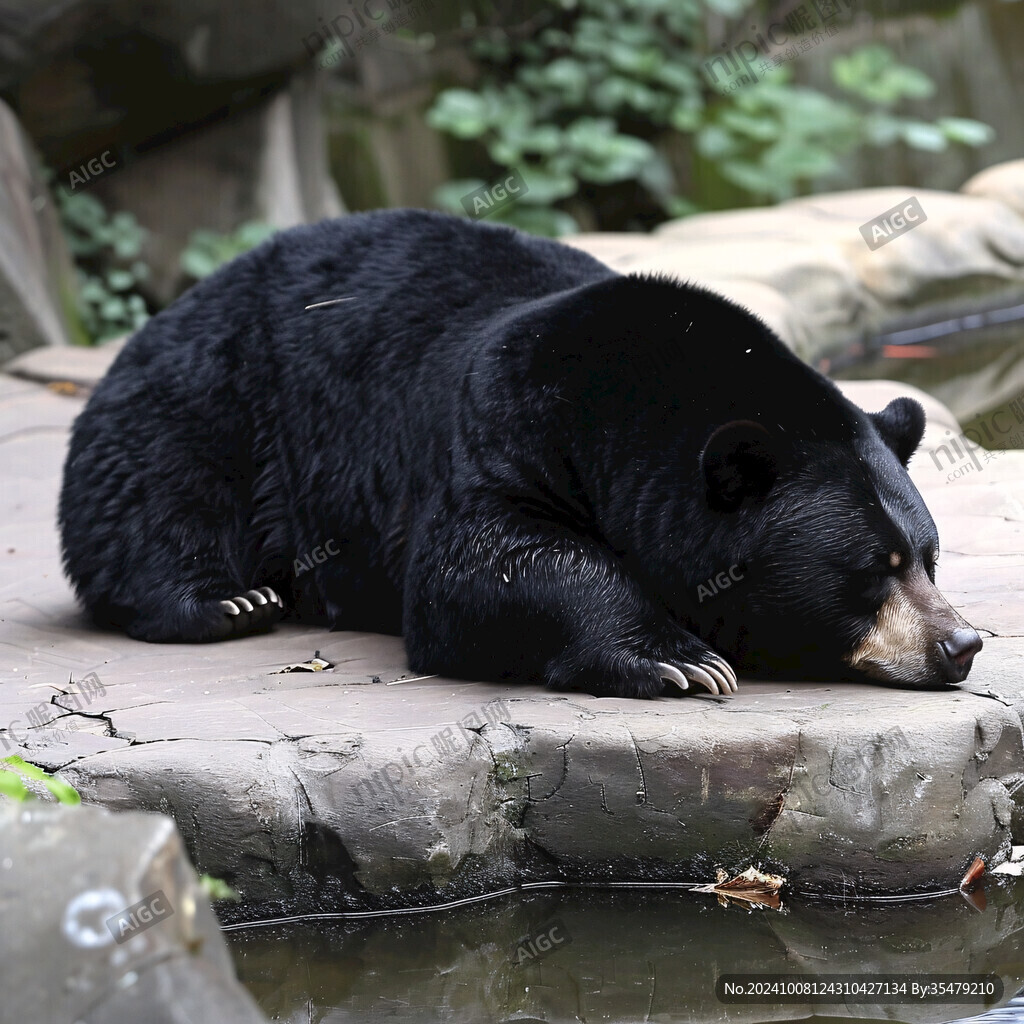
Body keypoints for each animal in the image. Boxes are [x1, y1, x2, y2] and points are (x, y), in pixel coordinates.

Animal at [58, 211, 983, 700]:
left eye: (930, 557)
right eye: (870, 568)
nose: (961, 644)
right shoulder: (501, 424)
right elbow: (477, 568)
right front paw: (680, 658)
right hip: (215, 394)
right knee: (156, 487)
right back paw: (226, 599)